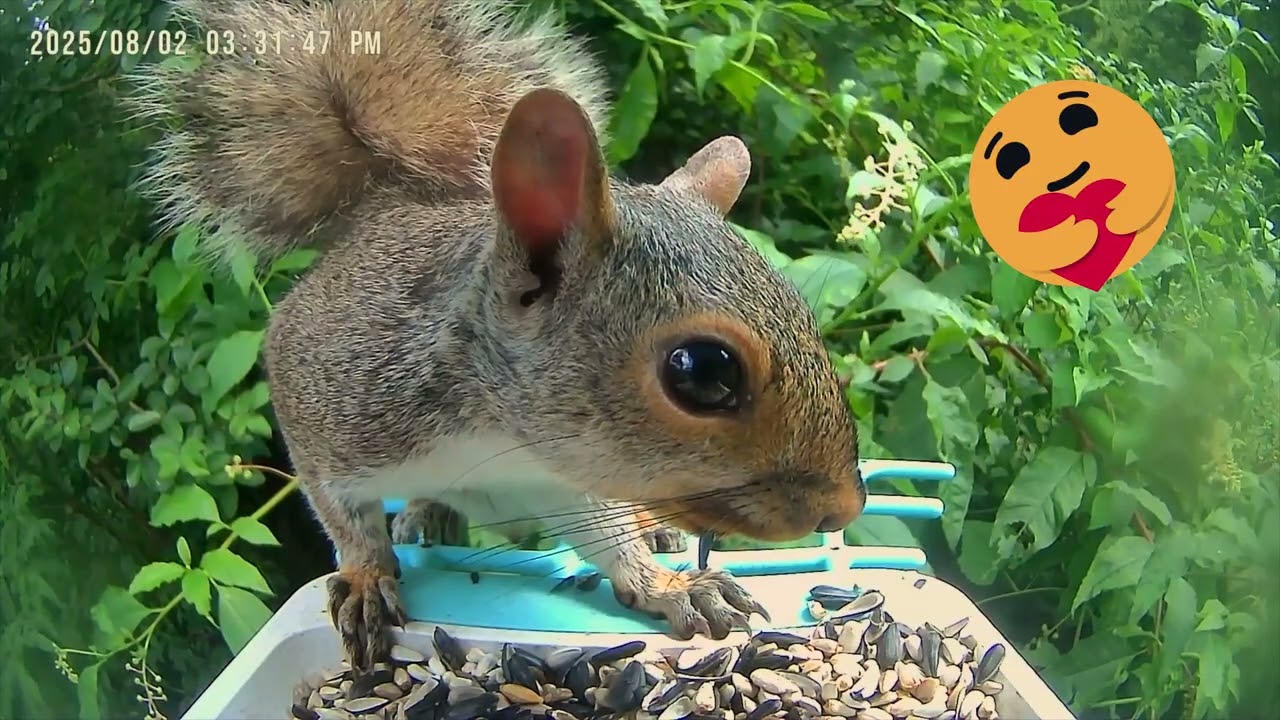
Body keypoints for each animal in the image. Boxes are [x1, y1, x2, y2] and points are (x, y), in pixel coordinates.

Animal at [134, 0, 867, 672]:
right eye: (703, 372)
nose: (845, 506)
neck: (495, 439)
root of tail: (388, 205)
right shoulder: (319, 399)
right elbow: (343, 516)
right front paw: (367, 577)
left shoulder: (565, 484)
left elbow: (609, 540)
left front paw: (670, 585)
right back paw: (426, 514)